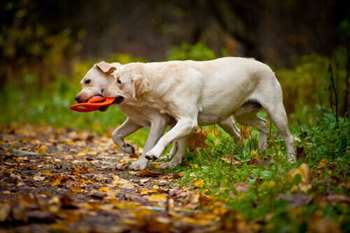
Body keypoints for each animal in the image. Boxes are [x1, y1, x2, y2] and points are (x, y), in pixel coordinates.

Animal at [75, 61, 242, 169]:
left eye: (88, 81)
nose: (76, 98)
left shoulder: (158, 121)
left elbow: (149, 143)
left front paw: (141, 163)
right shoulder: (135, 121)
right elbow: (115, 134)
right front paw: (127, 148)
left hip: (222, 120)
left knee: (237, 132)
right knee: (178, 142)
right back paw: (170, 159)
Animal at [103, 57, 296, 162]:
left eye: (119, 81)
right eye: (114, 77)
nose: (102, 91)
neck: (164, 79)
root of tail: (266, 66)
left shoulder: (188, 121)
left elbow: (166, 137)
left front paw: (154, 153)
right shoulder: (178, 121)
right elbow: (176, 143)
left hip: (276, 111)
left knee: (289, 137)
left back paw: (291, 159)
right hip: (242, 115)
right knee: (262, 124)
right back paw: (261, 149)